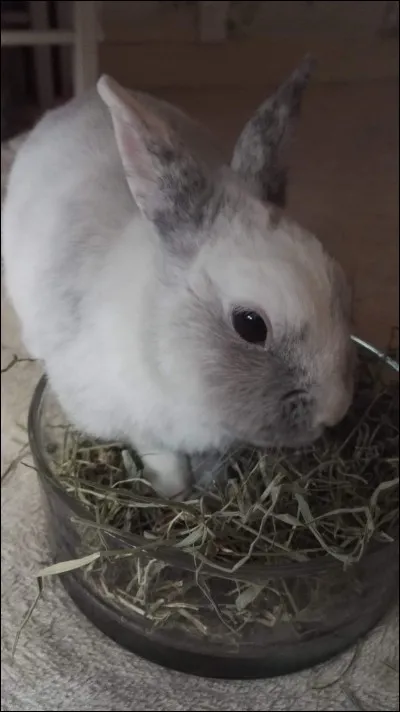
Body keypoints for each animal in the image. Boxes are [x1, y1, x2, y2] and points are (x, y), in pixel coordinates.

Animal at [2, 57, 354, 498]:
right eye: (250, 325)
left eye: (341, 286)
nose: (334, 411)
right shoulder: (138, 426)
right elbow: (164, 461)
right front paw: (175, 496)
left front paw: (209, 492)